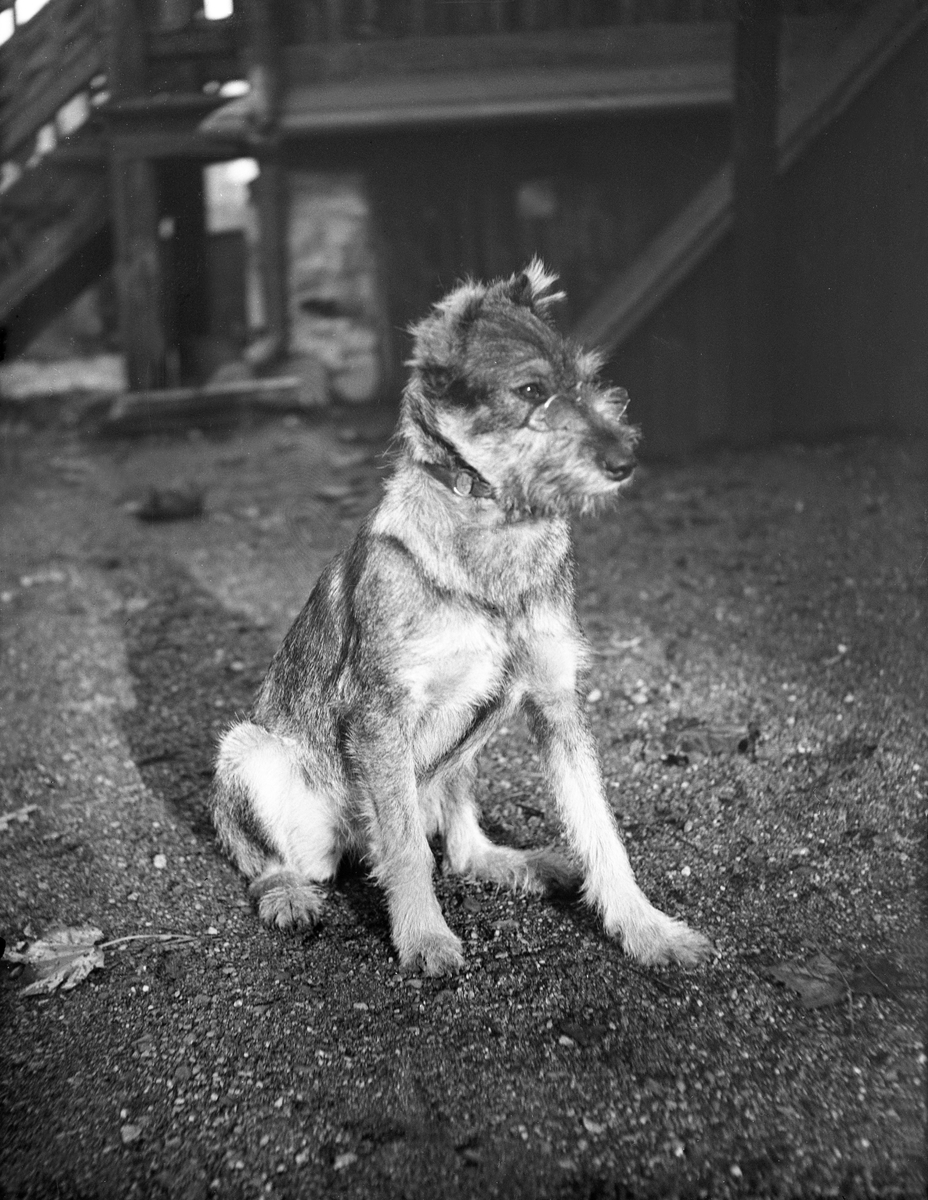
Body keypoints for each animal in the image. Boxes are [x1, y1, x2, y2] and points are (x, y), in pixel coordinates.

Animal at [213, 262, 715, 974]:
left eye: (588, 380)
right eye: (530, 389)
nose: (625, 462)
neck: (495, 533)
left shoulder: (555, 699)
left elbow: (599, 828)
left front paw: (647, 929)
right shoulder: (382, 714)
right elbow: (403, 848)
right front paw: (424, 938)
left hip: (464, 755)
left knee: (462, 844)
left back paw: (522, 863)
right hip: (248, 751)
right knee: (271, 860)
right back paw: (289, 894)